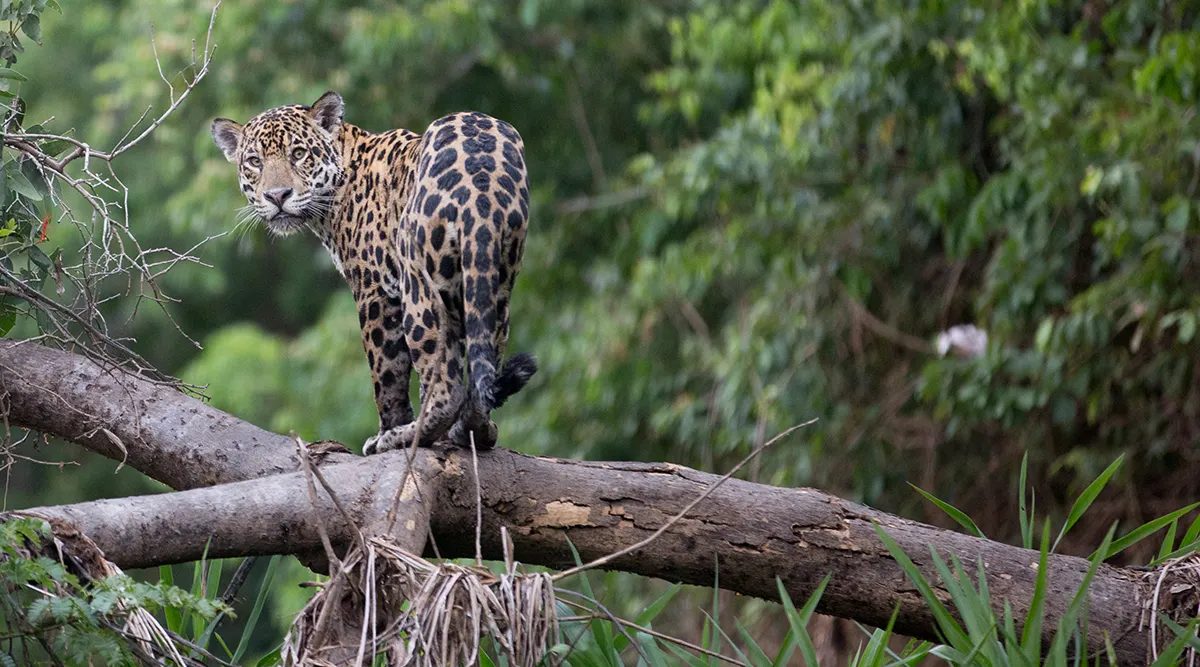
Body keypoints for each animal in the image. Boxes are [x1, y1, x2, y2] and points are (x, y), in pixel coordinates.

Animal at [210, 91, 536, 454]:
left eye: (299, 154)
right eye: (254, 161)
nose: (277, 196)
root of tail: (481, 183)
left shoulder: (375, 291)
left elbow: (387, 375)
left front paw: (386, 431)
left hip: (418, 286)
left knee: (445, 386)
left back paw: (404, 436)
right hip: (496, 284)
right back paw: (473, 430)